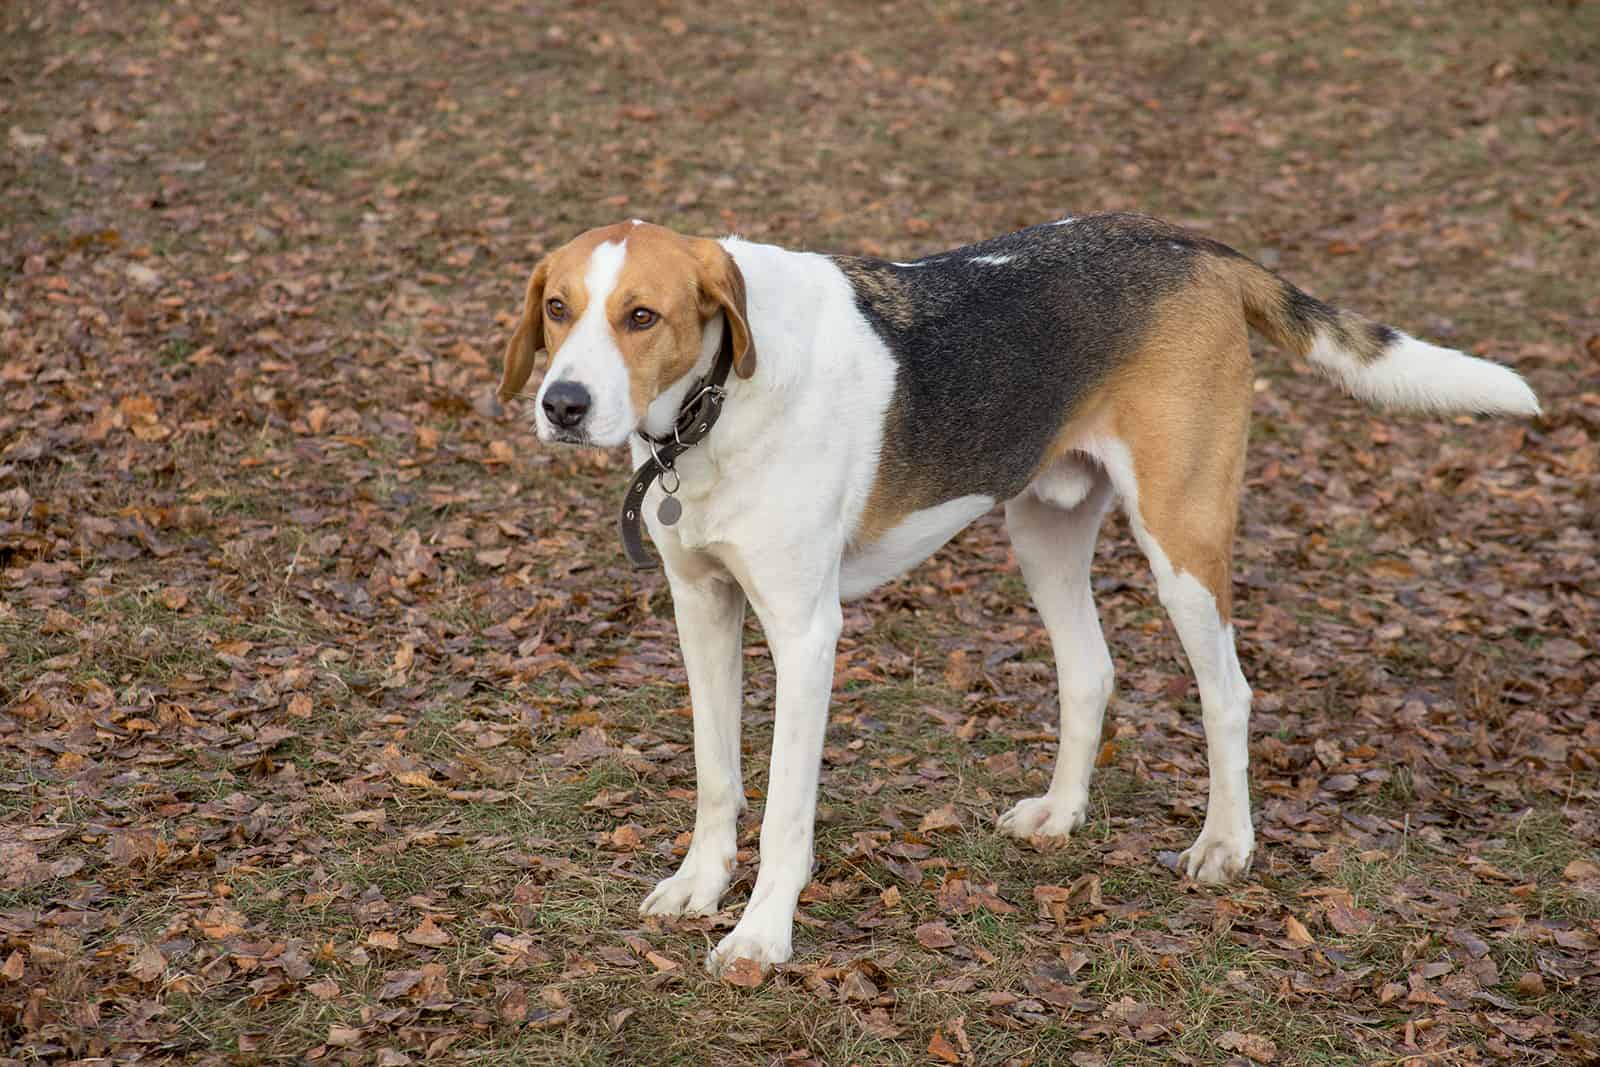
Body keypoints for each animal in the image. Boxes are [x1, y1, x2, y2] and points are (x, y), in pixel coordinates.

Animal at [496, 214, 1536, 979]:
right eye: (557, 308)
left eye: (642, 316)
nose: (563, 406)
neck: (714, 407)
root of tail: (1189, 242)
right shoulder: (702, 607)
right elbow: (718, 774)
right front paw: (699, 887)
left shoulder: (805, 632)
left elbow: (787, 804)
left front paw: (760, 935)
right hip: (1043, 532)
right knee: (1091, 672)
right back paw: (1061, 814)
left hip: (1182, 539)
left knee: (1228, 693)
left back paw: (1225, 846)